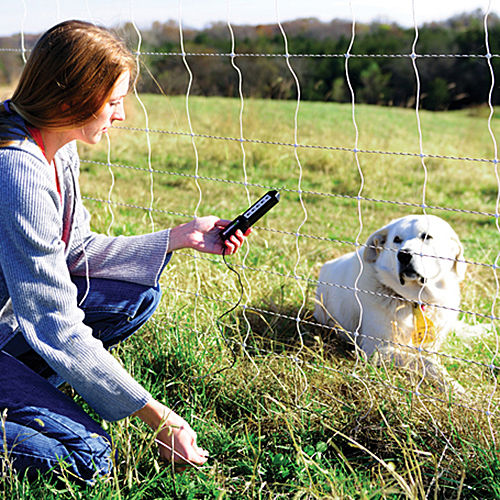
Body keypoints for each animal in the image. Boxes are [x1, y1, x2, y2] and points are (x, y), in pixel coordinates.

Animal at [314, 213, 466, 392]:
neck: (414, 300)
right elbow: (425, 362)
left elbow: (428, 358)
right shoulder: (376, 348)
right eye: (397, 239)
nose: (404, 255)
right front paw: (453, 386)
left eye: (426, 236)